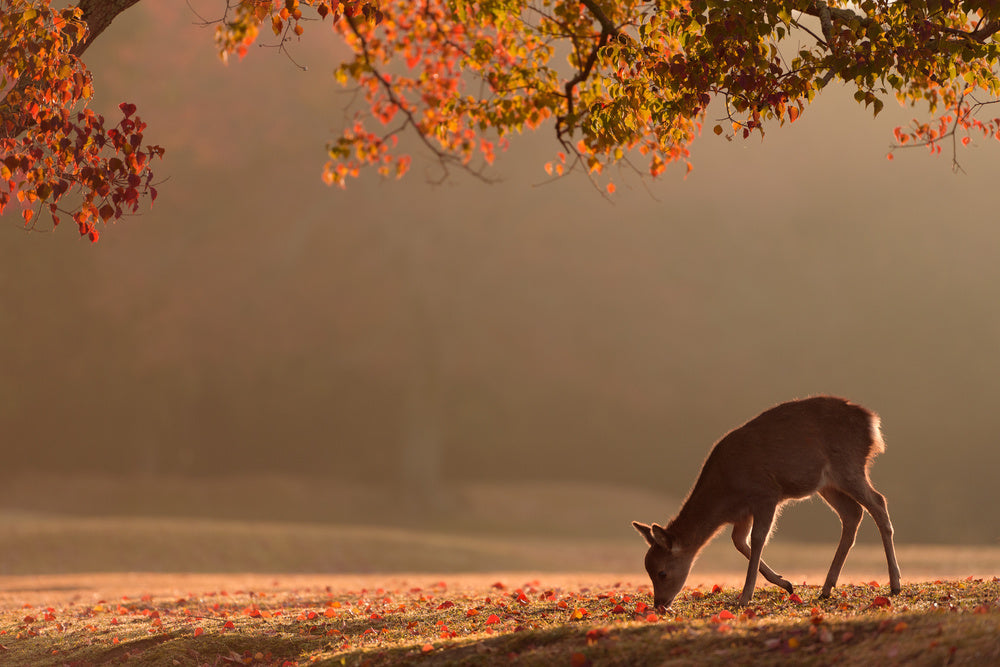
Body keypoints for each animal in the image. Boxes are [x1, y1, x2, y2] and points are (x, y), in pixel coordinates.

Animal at [632, 396, 901, 609]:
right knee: (853, 513)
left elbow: (758, 539)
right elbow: (739, 542)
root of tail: (872, 422)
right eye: (647, 569)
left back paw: (895, 584)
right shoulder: (742, 513)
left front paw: (745, 597)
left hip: (849, 465)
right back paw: (826, 588)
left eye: (662, 572)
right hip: (827, 484)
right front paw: (786, 584)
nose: (659, 604)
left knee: (878, 503)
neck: (725, 493)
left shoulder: (766, 494)